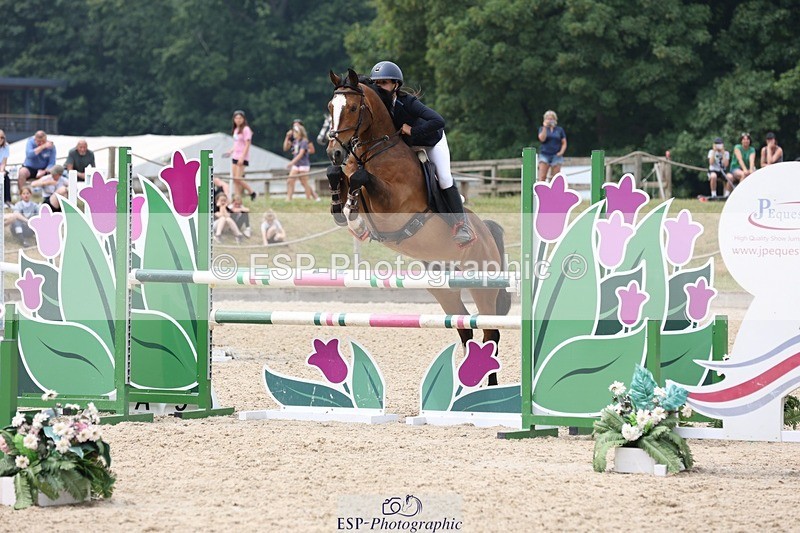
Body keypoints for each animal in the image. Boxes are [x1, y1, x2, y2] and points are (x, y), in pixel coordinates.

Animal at [325, 68, 511, 385]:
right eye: (330, 107)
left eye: (352, 108)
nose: (334, 150)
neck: (376, 148)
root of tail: (487, 231)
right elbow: (341, 176)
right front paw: (344, 207)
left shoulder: (393, 205)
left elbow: (363, 178)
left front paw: (354, 213)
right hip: (444, 287)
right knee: (465, 329)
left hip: (483, 283)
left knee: (490, 332)